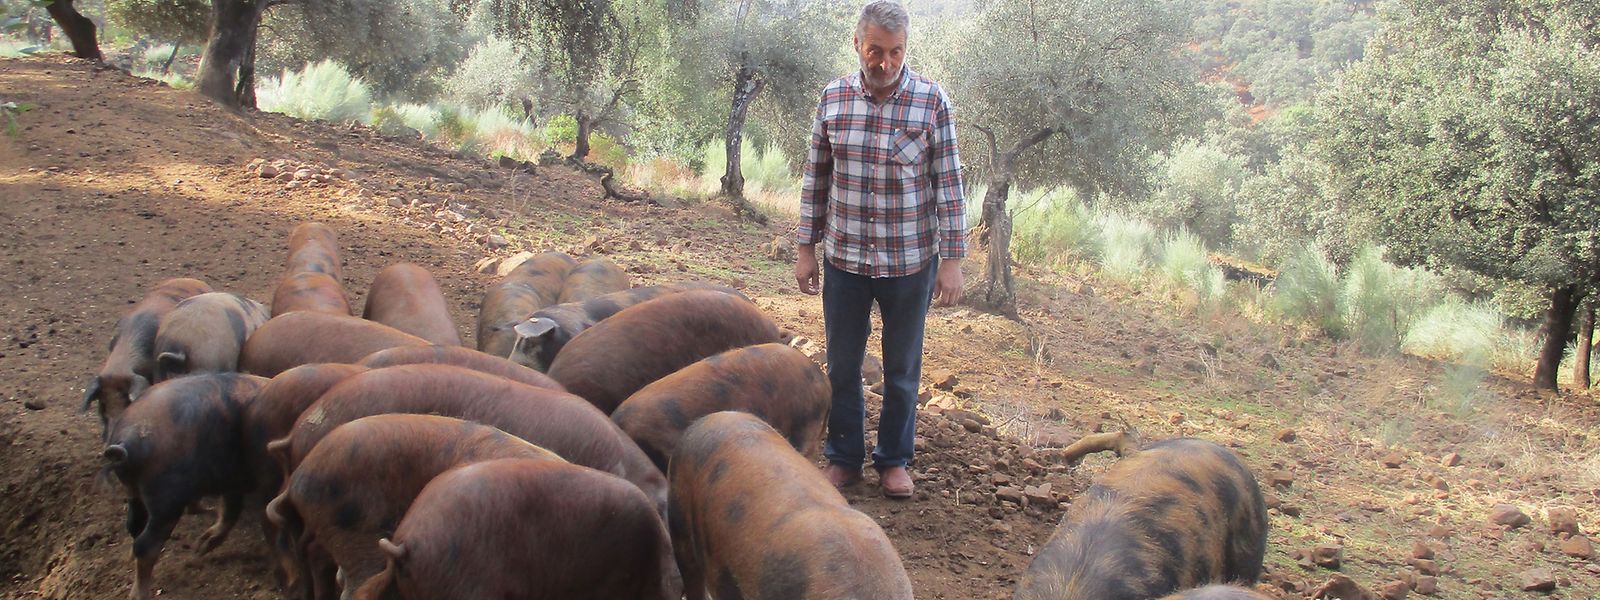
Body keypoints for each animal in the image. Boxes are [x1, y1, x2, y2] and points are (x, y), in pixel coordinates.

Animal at [101, 373, 269, 600]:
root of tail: (128, 440)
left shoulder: (232, 480)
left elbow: (229, 511)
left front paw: (200, 547)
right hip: (166, 501)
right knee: (146, 545)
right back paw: (139, 594)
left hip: (134, 491)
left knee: (134, 526)